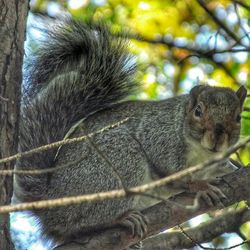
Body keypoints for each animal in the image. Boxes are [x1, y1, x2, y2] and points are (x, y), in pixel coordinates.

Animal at [11, 18, 246, 247]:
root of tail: (50, 204)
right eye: (198, 111)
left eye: (238, 117)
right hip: (117, 163)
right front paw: (199, 186)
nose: (217, 139)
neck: (202, 154)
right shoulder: (161, 137)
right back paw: (120, 219)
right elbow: (172, 173)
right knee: (81, 222)